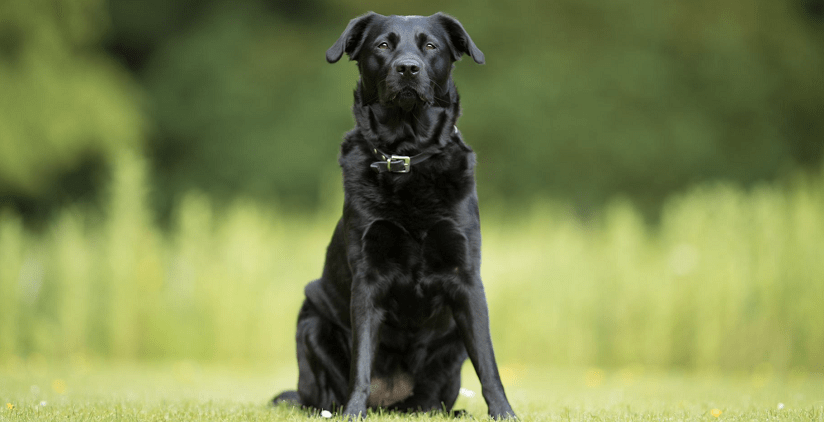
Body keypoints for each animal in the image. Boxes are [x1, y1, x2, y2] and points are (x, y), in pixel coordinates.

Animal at [272, 12, 516, 418]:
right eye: (383, 45)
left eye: (430, 45)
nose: (407, 68)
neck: (407, 155)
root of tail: (392, 403)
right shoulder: (367, 280)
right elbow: (361, 363)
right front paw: (354, 412)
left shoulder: (466, 278)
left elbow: (488, 363)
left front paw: (504, 413)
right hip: (312, 323)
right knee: (320, 397)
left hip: (452, 341)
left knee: (432, 399)